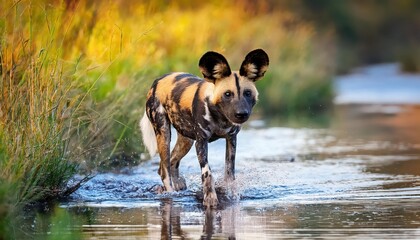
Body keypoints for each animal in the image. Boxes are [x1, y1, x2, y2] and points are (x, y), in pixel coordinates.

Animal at [140, 49, 270, 208]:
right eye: (227, 94)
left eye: (247, 93)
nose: (241, 114)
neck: (220, 118)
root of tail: (158, 80)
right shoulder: (201, 142)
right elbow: (207, 173)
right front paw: (210, 198)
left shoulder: (231, 140)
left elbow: (229, 174)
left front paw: (230, 195)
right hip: (164, 135)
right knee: (165, 170)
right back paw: (171, 194)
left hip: (186, 141)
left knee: (170, 163)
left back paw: (178, 185)